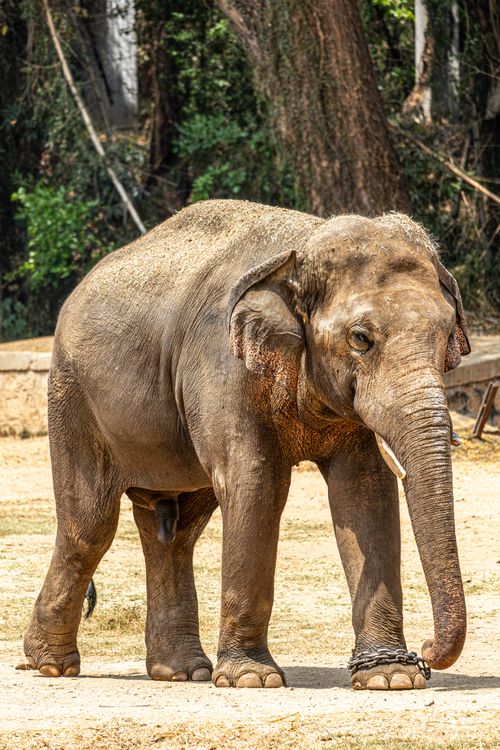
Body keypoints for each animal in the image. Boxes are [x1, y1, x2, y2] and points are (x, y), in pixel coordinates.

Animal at [24, 199, 470, 690]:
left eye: (447, 335)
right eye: (360, 338)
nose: (426, 652)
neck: (300, 249)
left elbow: (364, 491)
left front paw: (389, 678)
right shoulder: (222, 363)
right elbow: (256, 482)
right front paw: (252, 679)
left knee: (174, 532)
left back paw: (181, 672)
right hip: (72, 397)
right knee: (90, 526)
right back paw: (52, 665)